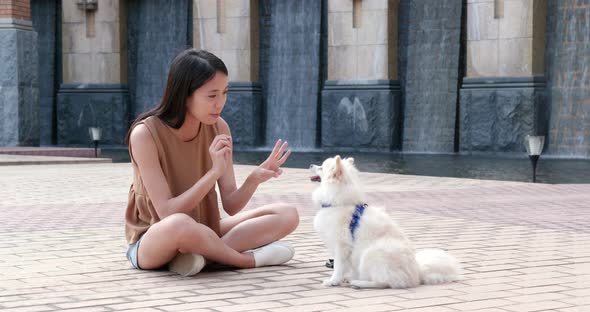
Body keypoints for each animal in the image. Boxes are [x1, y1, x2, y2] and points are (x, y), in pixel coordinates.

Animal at [310, 155, 462, 288]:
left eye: (321, 167)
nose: (311, 165)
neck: (340, 203)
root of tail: (417, 274)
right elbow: (346, 267)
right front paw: (345, 278)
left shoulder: (341, 245)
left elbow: (338, 266)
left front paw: (333, 281)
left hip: (371, 254)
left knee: (383, 282)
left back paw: (359, 283)